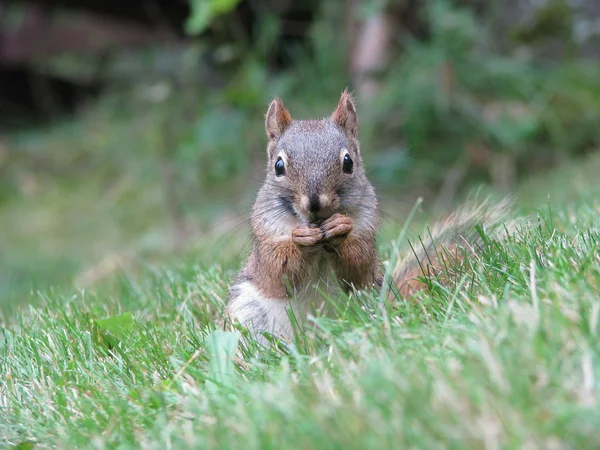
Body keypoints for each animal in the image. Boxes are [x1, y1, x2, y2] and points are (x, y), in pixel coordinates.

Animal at [225, 89, 510, 342]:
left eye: (348, 162)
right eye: (278, 166)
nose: (315, 203)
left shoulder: (366, 231)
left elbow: (357, 266)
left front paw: (340, 228)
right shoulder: (266, 235)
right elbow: (278, 271)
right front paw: (301, 238)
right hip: (249, 312)